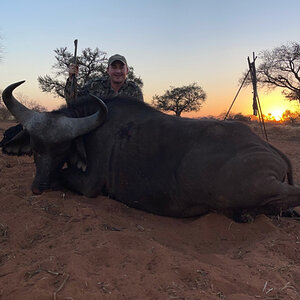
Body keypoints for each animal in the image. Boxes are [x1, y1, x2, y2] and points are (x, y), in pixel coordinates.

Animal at [1, 81, 300, 219]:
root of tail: (271, 150)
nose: (38, 187)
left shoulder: (89, 185)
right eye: (36, 149)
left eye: (62, 149)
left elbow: (65, 176)